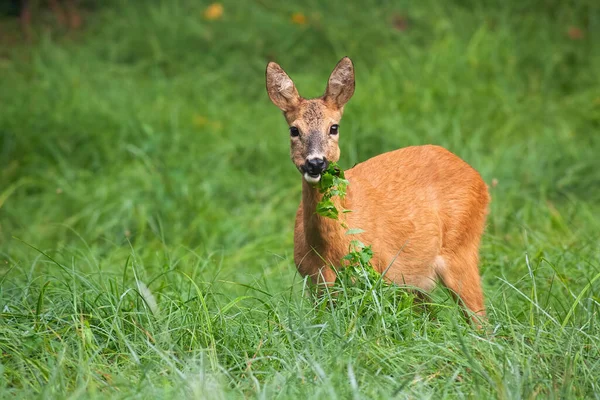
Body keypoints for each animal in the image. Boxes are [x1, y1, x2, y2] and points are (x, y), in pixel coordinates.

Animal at [264, 56, 490, 320]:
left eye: (334, 127)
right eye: (294, 130)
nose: (316, 163)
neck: (328, 250)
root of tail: (479, 180)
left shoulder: (377, 273)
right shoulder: (316, 285)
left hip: (460, 249)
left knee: (480, 317)